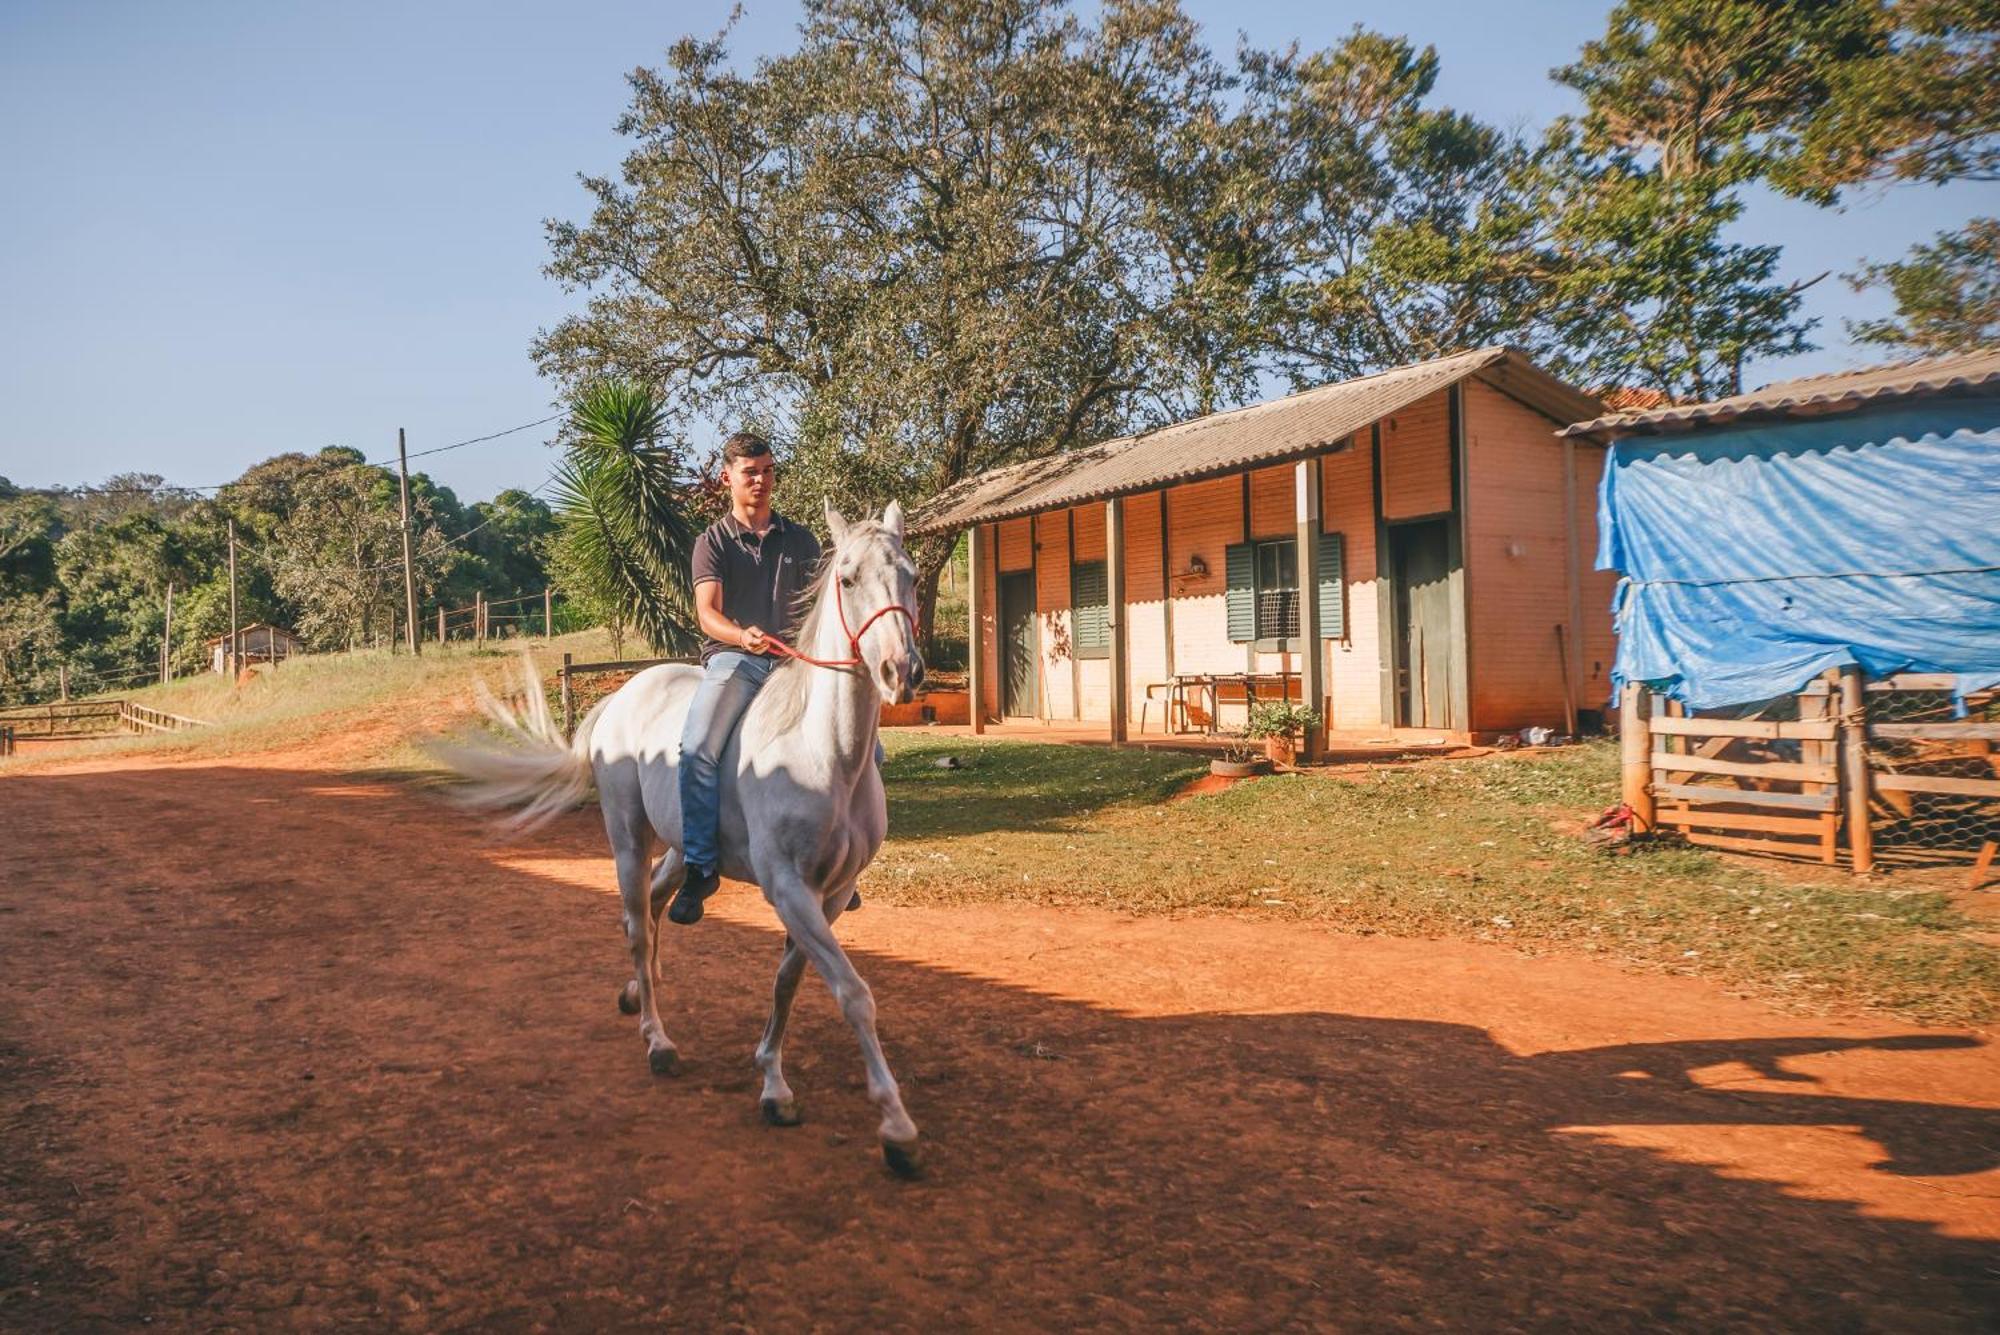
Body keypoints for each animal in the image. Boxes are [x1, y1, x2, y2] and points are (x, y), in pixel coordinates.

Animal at [434, 503, 924, 1175]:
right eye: (847, 579)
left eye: (912, 576)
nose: (903, 672)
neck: (824, 752)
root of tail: (619, 698)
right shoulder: (788, 889)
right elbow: (853, 994)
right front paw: (895, 1126)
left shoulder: (829, 894)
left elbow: (788, 982)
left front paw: (772, 1081)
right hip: (627, 838)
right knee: (637, 925)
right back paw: (656, 1039)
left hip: (677, 847)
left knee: (660, 903)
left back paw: (637, 991)